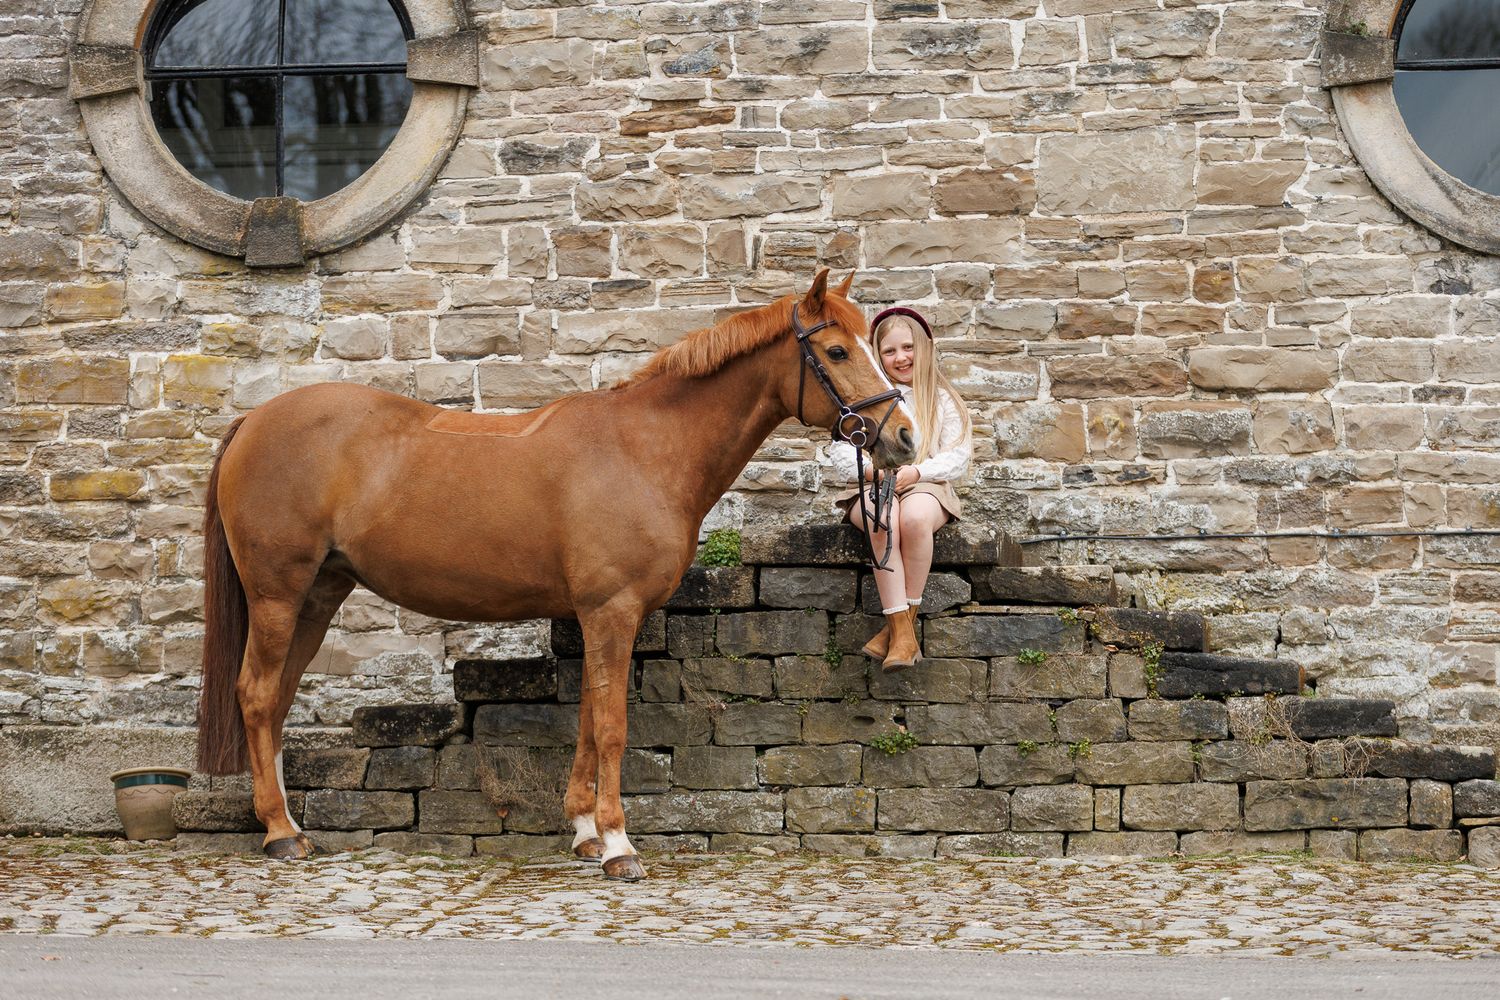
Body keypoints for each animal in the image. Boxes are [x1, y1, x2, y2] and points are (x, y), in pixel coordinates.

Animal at [196, 269, 917, 880]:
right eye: (837, 351)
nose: (904, 437)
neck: (644, 449)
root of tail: (253, 420)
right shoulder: (612, 611)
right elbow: (614, 724)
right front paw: (620, 847)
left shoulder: (598, 616)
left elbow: (590, 721)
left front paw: (585, 834)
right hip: (278, 593)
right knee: (257, 694)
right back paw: (279, 833)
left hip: (319, 594)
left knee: (278, 699)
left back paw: (290, 825)